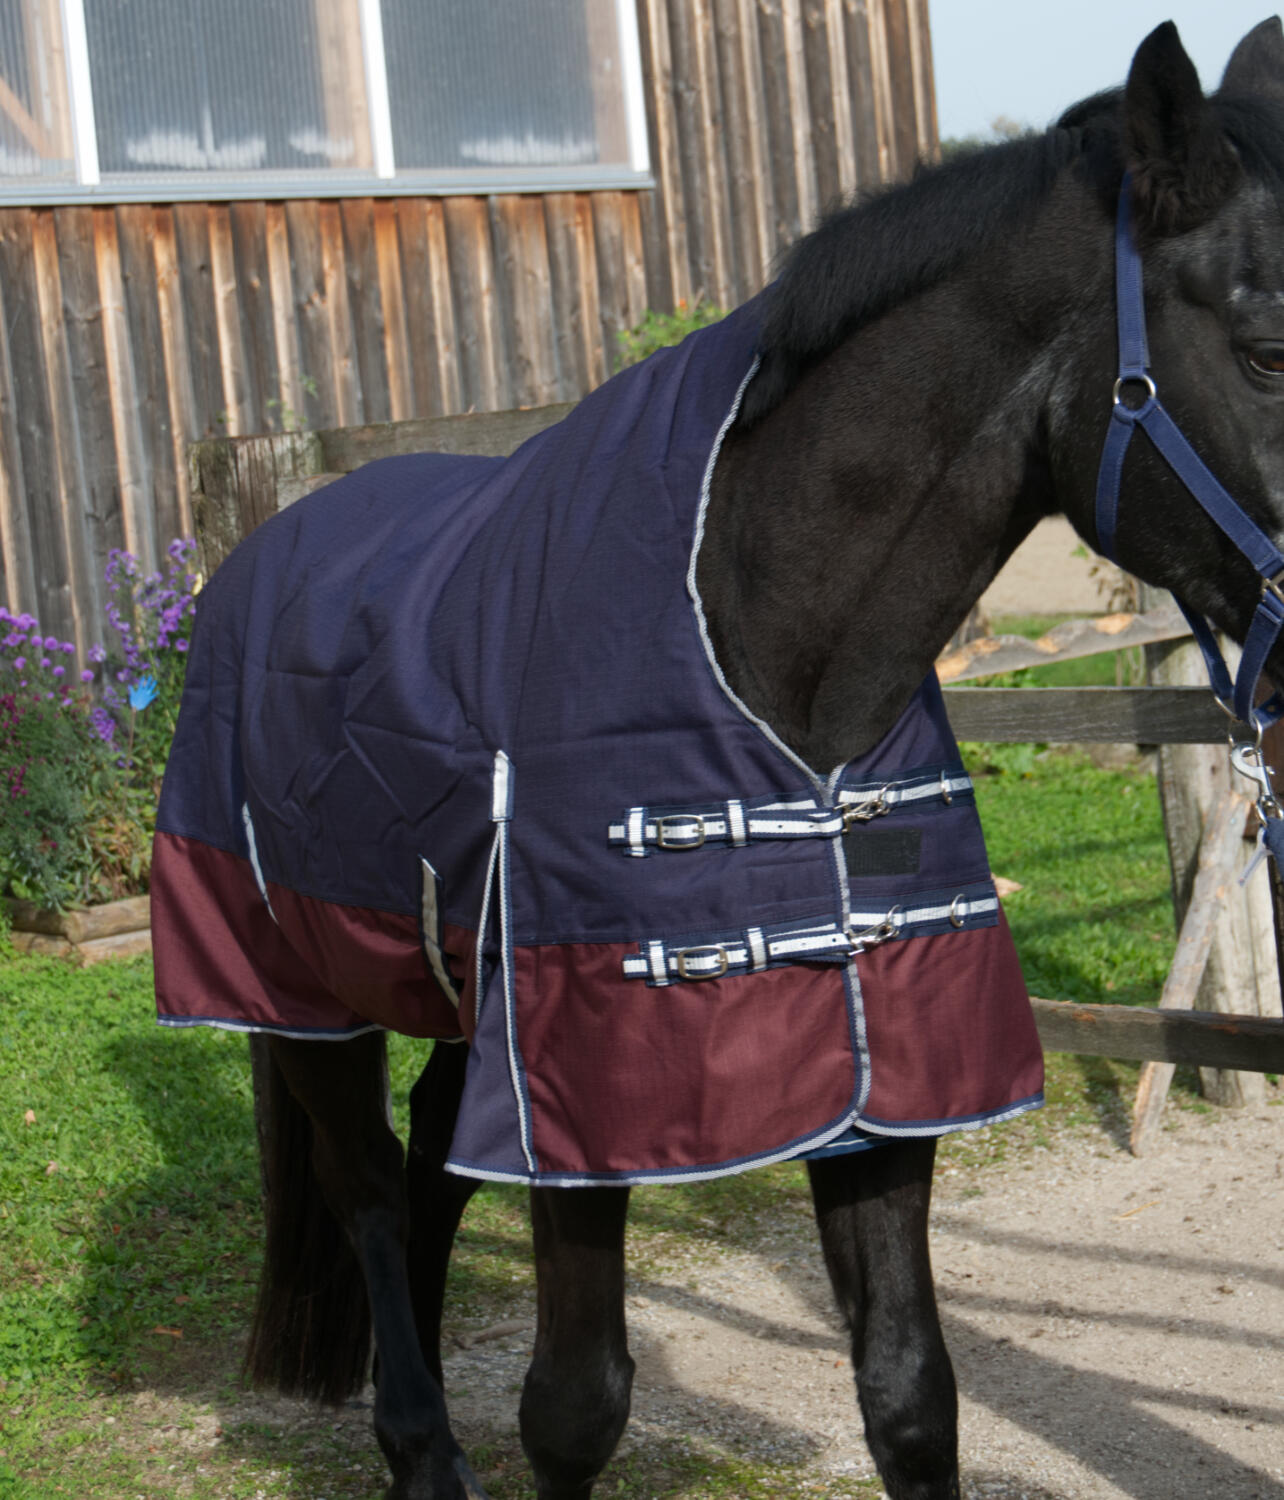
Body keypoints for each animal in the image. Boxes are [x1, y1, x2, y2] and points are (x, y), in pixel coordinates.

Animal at [149, 19, 1284, 1500]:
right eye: (1266, 348)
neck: (769, 654)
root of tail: (256, 550)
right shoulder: (587, 1093)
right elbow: (576, 1406)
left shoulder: (880, 1083)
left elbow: (911, 1393)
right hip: (303, 994)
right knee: (367, 1192)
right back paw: (416, 1445)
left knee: (430, 1171)